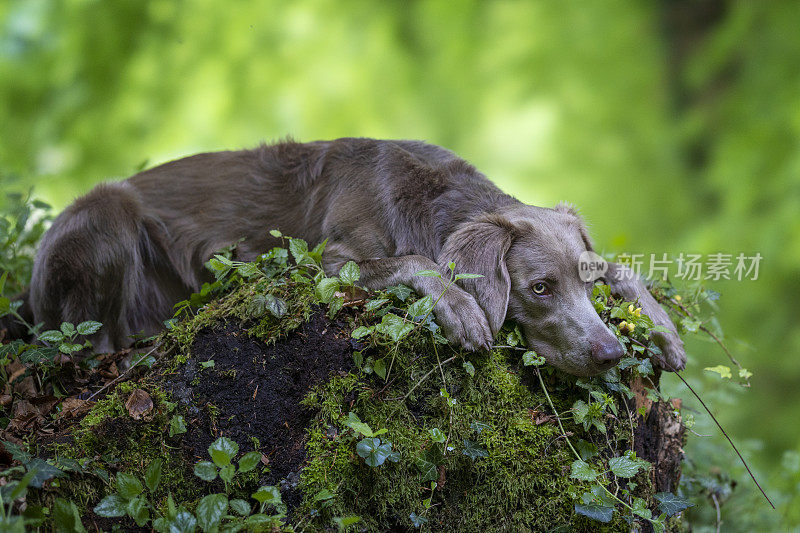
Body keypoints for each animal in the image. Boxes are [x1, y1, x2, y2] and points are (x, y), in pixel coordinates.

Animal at [20, 139, 680, 376]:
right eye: (539, 288)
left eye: (584, 287)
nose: (612, 354)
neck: (423, 199)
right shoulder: (323, 262)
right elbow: (415, 263)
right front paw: (465, 310)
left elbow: (623, 267)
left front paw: (663, 328)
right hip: (106, 212)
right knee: (89, 346)